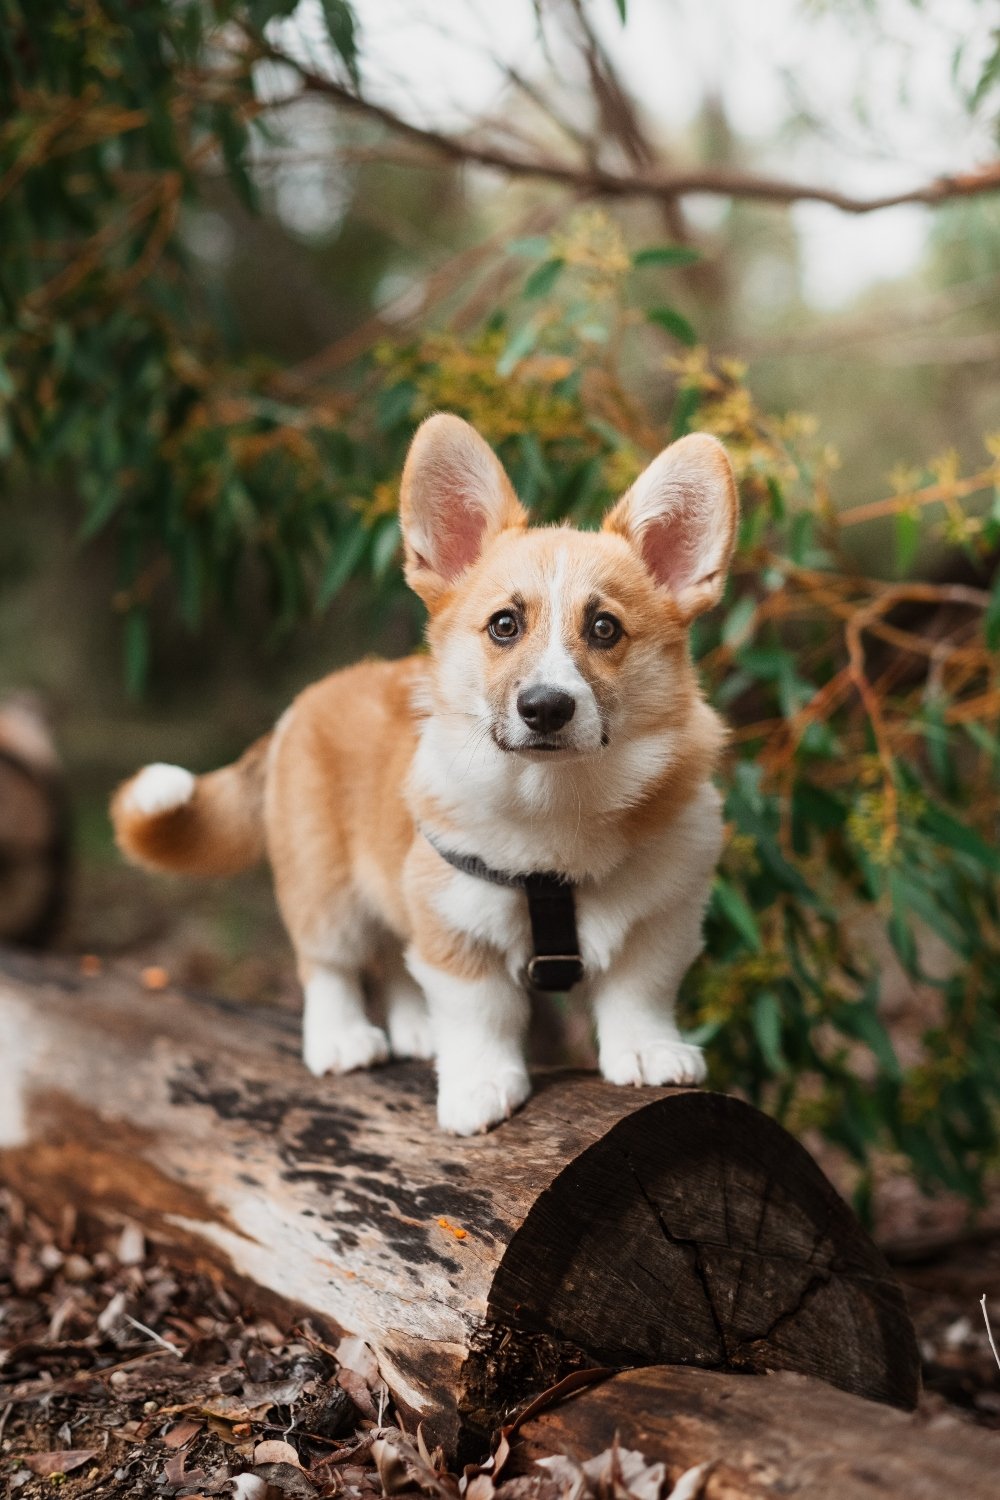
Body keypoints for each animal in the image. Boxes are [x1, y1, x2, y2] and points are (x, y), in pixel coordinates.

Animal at [113, 414, 740, 1134]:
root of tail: (308, 699)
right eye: (504, 625)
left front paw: (646, 1051)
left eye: (605, 628)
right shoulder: (454, 922)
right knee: (329, 965)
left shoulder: (663, 917)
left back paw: (416, 1030)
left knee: (393, 960)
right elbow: (482, 1012)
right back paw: (341, 1039)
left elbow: (640, 991)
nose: (546, 708)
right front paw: (479, 1085)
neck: (554, 803)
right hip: (323, 888)